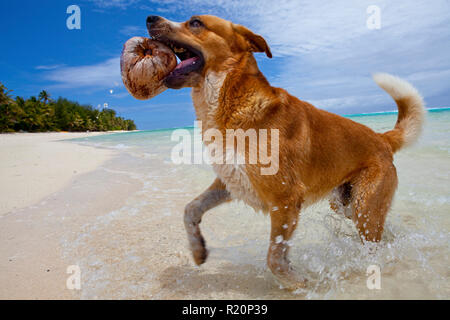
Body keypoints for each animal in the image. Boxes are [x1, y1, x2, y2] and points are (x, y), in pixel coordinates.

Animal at [146, 14, 424, 290]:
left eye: (195, 23)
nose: (150, 18)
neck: (231, 100)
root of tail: (382, 138)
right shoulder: (231, 181)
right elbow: (190, 210)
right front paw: (197, 250)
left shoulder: (285, 200)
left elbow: (275, 258)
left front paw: (300, 282)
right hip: (345, 204)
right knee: (377, 230)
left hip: (365, 206)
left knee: (372, 242)